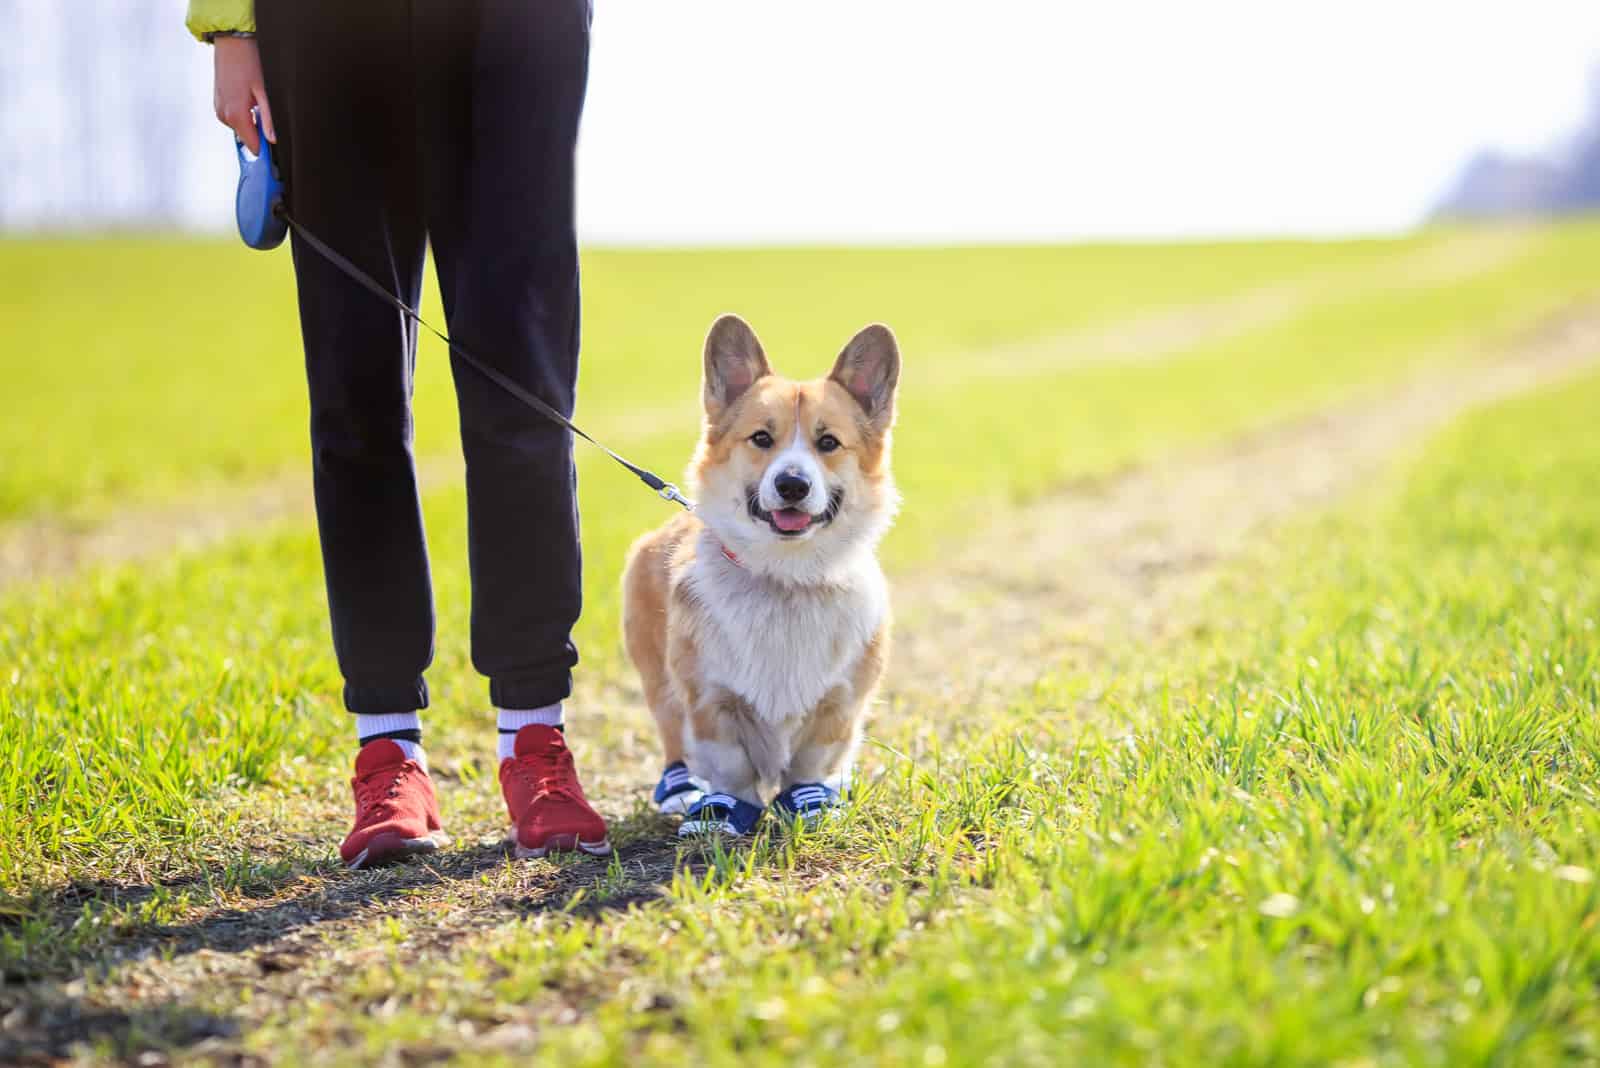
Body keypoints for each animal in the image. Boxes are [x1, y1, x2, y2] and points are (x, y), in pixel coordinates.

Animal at [620, 313, 902, 831]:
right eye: (762, 439)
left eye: (828, 443)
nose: (792, 484)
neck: (786, 577)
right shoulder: (711, 701)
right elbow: (729, 765)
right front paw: (723, 812)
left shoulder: (839, 704)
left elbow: (813, 760)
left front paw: (811, 802)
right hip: (657, 681)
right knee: (672, 736)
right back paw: (681, 791)